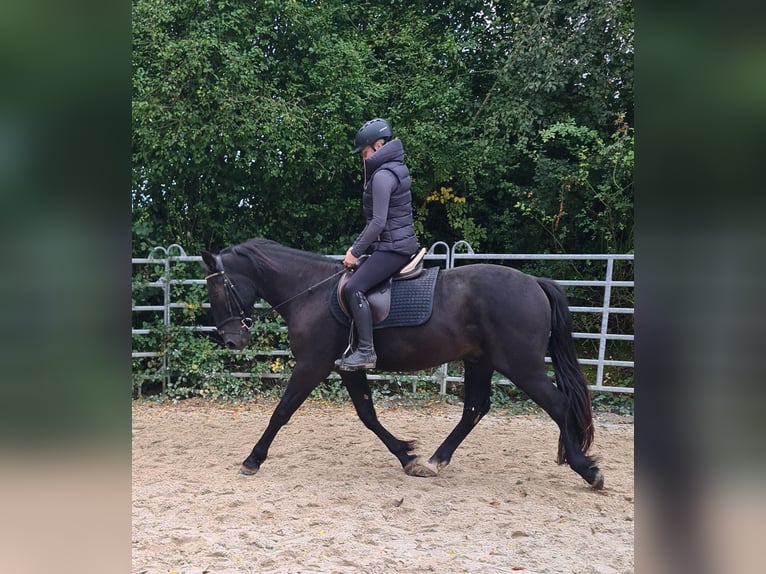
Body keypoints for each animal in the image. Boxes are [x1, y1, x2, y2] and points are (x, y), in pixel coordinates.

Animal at [202, 238, 608, 490]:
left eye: (217, 289)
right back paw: (434, 461)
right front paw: (406, 455)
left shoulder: (312, 365)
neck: (311, 292)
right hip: (480, 361)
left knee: (558, 405)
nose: (232, 340)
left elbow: (282, 412)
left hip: (522, 366)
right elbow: (368, 415)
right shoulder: (347, 367)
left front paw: (253, 459)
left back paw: (586, 469)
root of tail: (534, 283)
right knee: (475, 409)